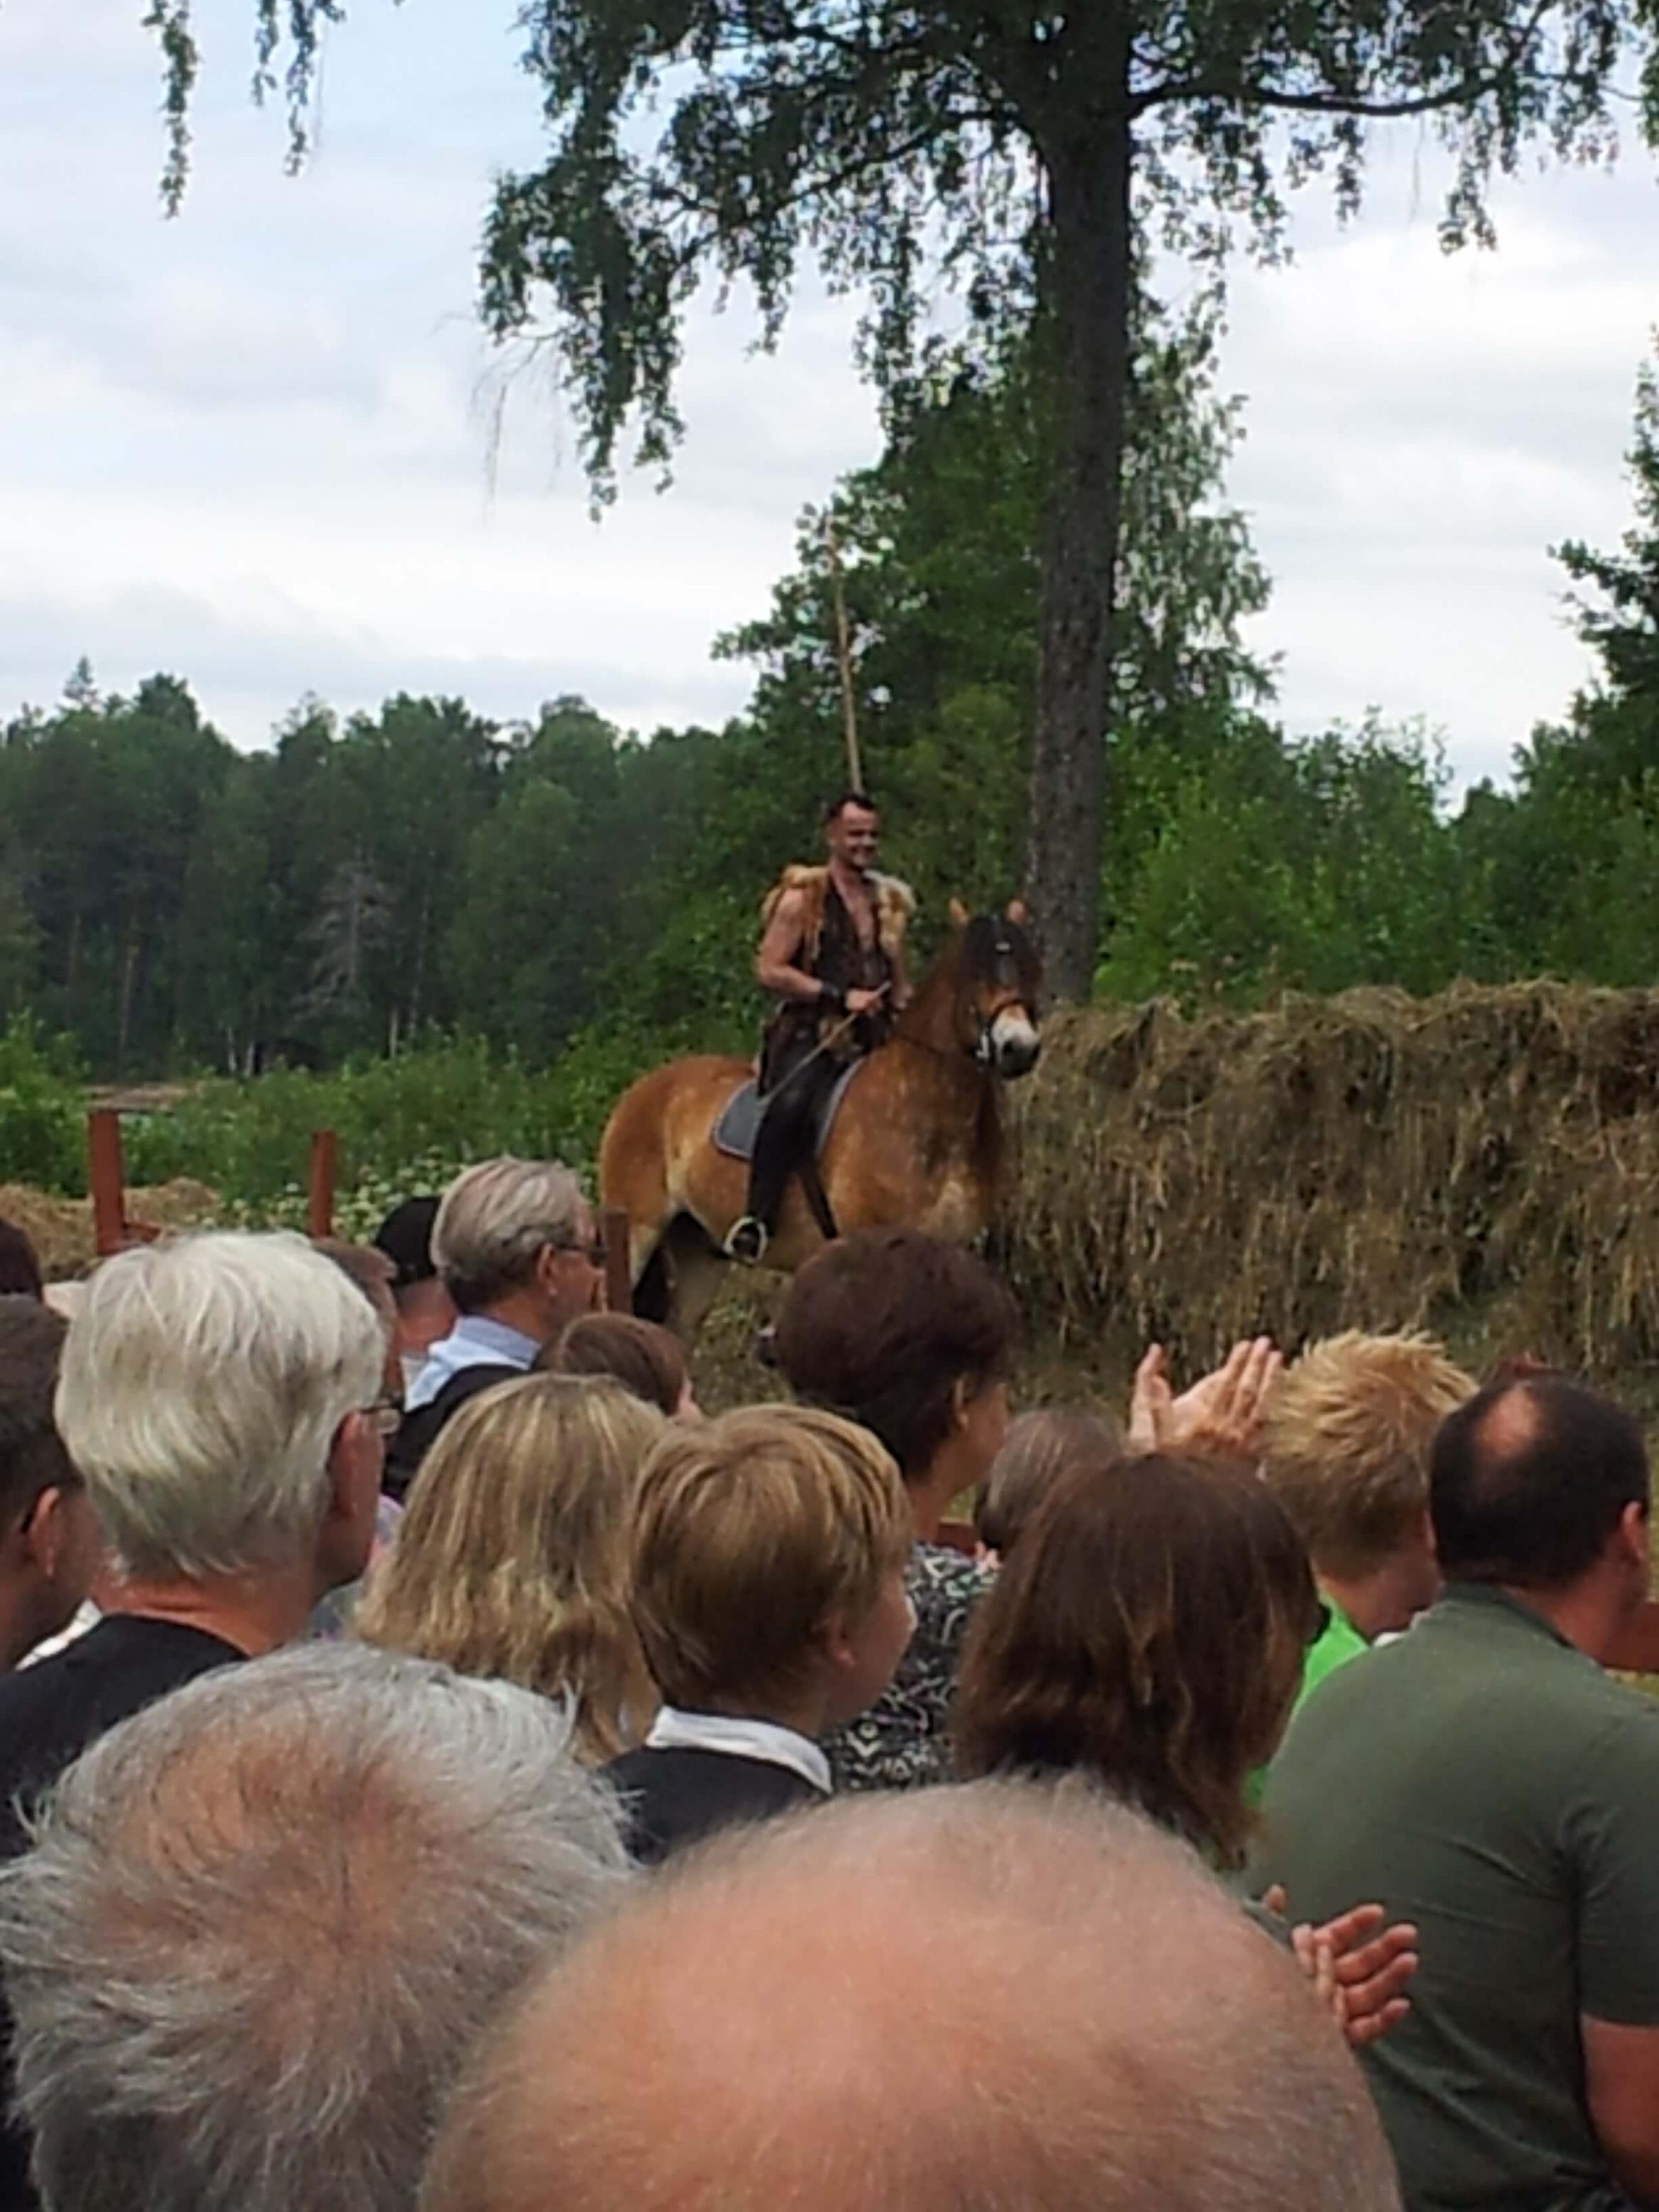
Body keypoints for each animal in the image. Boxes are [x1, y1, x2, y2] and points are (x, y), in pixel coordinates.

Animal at [599, 899, 1043, 1339]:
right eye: (975, 975)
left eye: (1030, 969)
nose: (1019, 1048)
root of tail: (637, 1094)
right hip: (637, 1234)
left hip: (699, 1254)